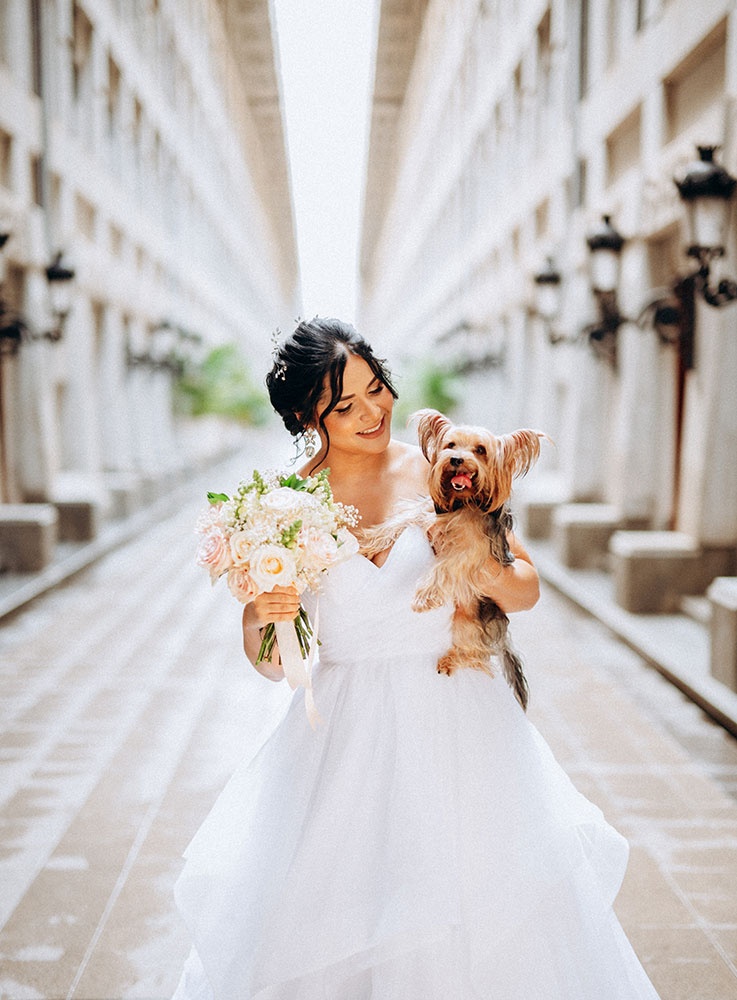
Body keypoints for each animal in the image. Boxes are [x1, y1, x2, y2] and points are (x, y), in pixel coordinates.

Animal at [360, 408, 548, 712]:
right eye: (450, 445)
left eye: (481, 450)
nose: (456, 459)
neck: (464, 502)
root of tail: (500, 633)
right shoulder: (425, 510)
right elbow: (396, 523)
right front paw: (366, 544)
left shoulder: (471, 552)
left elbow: (444, 567)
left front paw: (423, 598)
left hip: (467, 623)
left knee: (477, 655)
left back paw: (450, 661)